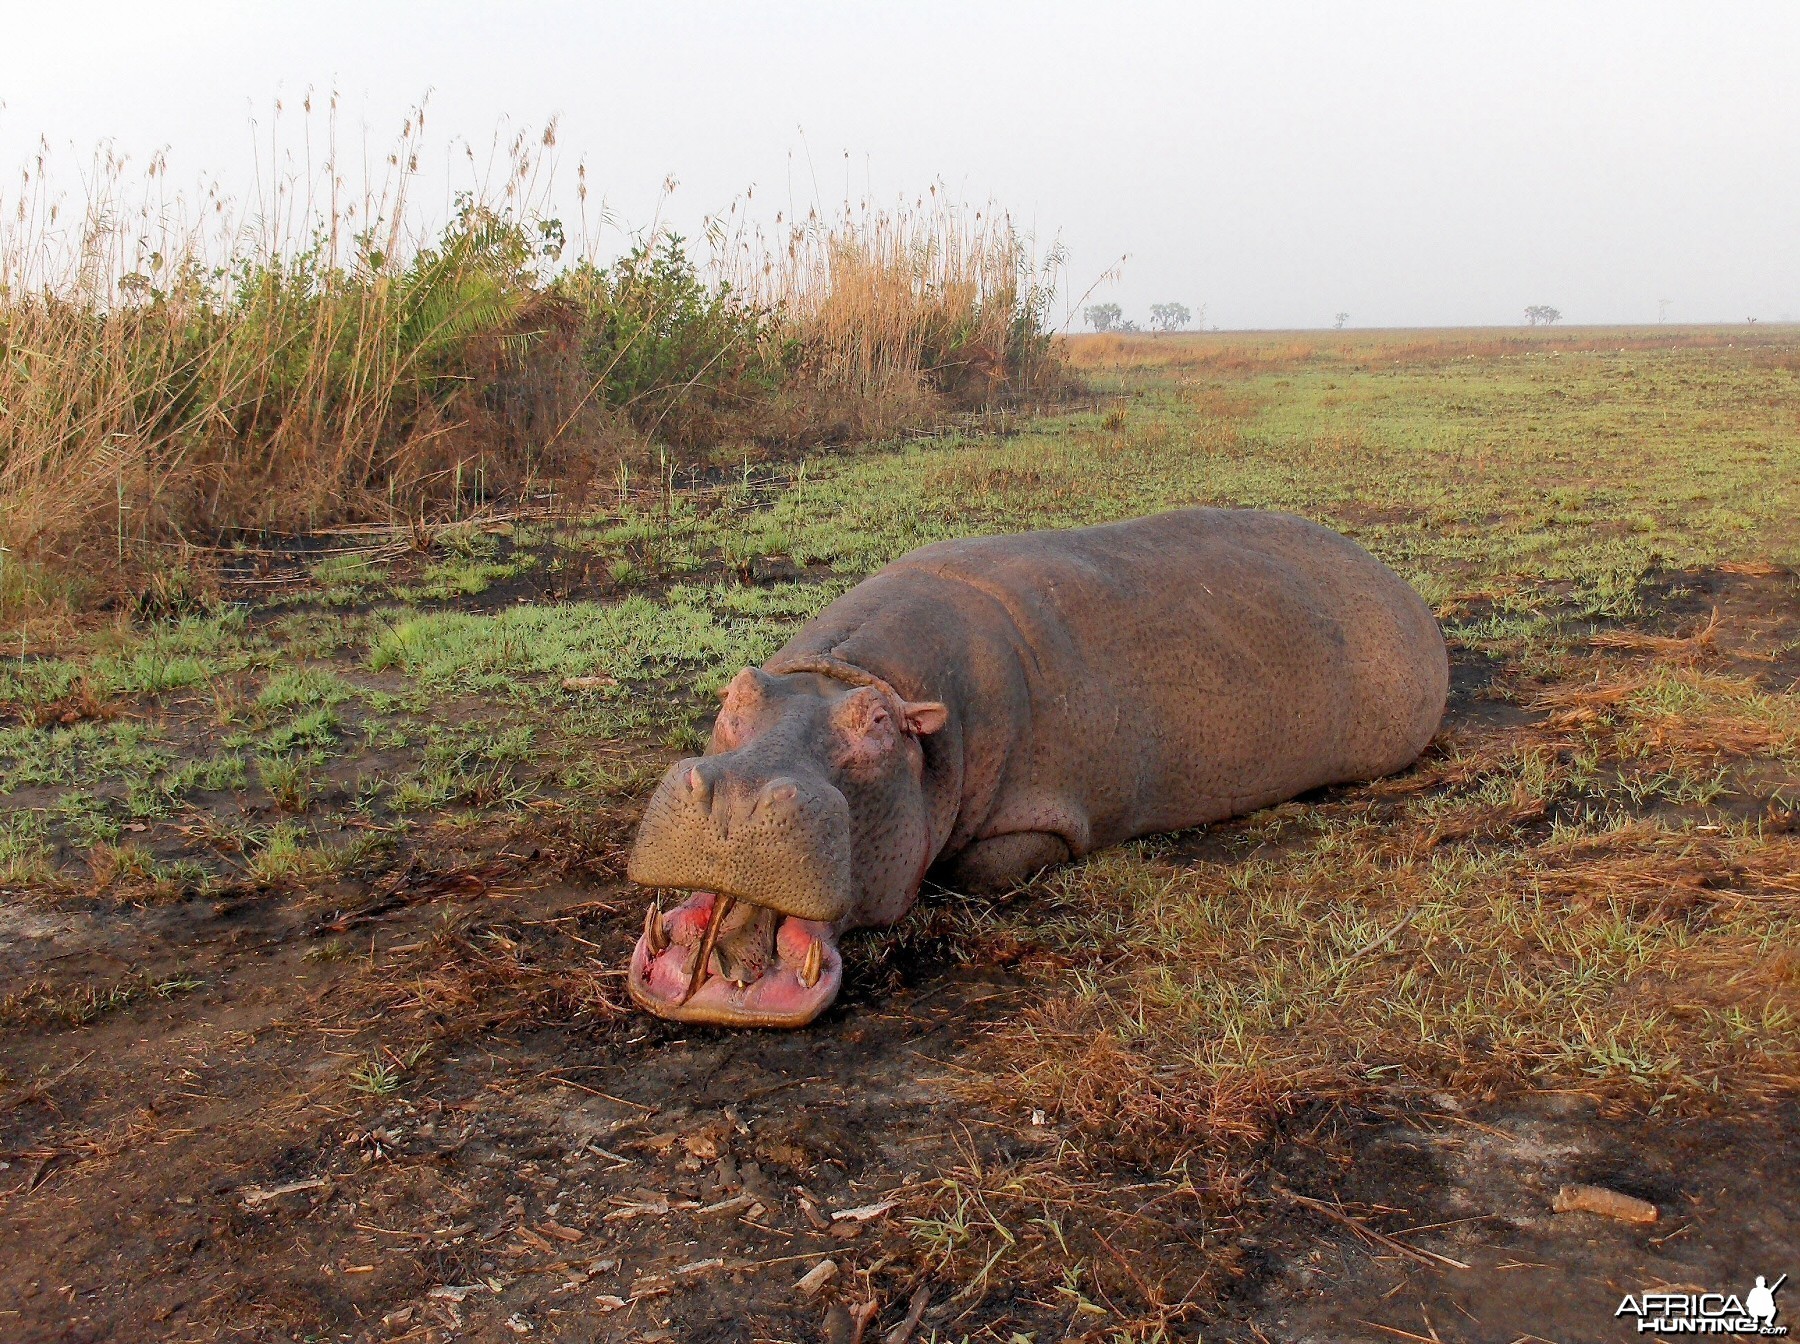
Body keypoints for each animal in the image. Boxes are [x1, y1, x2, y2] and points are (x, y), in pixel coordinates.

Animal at [626, 507, 1440, 1029]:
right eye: (738, 692)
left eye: (879, 726)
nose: (739, 793)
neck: (854, 675)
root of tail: (1396, 580)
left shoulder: (1042, 816)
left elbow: (978, 866)